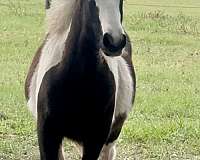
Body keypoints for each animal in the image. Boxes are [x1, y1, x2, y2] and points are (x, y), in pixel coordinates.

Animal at [24, 0, 135, 159]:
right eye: (89, 1)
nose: (114, 42)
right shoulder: (46, 133)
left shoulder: (96, 138)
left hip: (112, 135)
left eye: (121, 1)